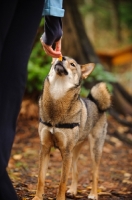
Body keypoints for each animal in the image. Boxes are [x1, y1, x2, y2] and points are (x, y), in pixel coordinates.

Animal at [32, 56, 111, 200]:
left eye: (73, 64)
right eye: (60, 56)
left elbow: (62, 182)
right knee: (76, 171)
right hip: (74, 152)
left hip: (94, 150)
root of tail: (96, 103)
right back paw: (73, 190)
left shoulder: (66, 152)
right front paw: (37, 198)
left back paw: (93, 194)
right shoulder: (45, 149)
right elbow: (40, 178)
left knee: (95, 173)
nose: (61, 57)